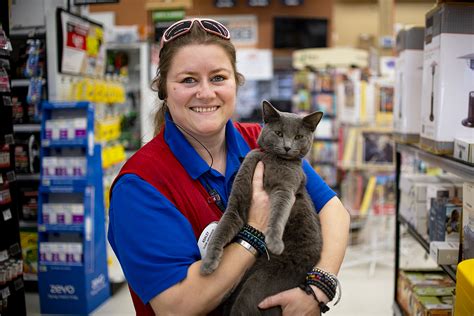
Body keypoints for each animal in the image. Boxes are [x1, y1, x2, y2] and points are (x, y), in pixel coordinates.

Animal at [200, 100, 326, 314]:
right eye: (279, 133)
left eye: (298, 137)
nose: (287, 147)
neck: (273, 159)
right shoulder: (237, 202)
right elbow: (222, 228)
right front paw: (209, 263)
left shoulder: (285, 189)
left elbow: (278, 213)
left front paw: (274, 242)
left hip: (264, 281)